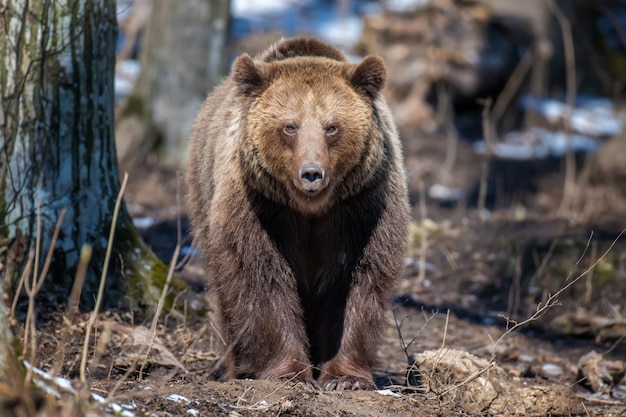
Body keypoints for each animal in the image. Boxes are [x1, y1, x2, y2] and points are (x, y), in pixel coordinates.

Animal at [185, 36, 410, 390]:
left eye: (332, 127)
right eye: (290, 126)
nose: (311, 173)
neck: (310, 209)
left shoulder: (361, 207)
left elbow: (356, 281)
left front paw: (345, 376)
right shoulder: (261, 207)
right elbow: (260, 278)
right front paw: (288, 372)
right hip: (202, 193)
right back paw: (237, 366)